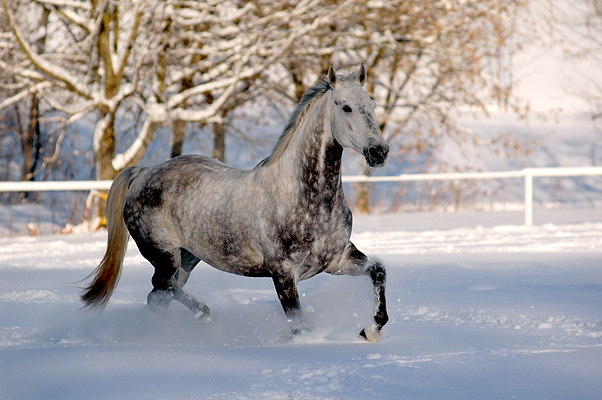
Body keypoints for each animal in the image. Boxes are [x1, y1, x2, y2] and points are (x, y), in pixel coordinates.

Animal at [81, 64, 390, 342]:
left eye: (372, 104)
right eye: (345, 107)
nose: (380, 151)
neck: (304, 200)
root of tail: (142, 172)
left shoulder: (337, 259)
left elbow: (378, 270)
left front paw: (370, 331)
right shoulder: (283, 275)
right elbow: (299, 326)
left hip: (188, 257)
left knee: (159, 296)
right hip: (165, 255)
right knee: (163, 285)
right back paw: (204, 316)